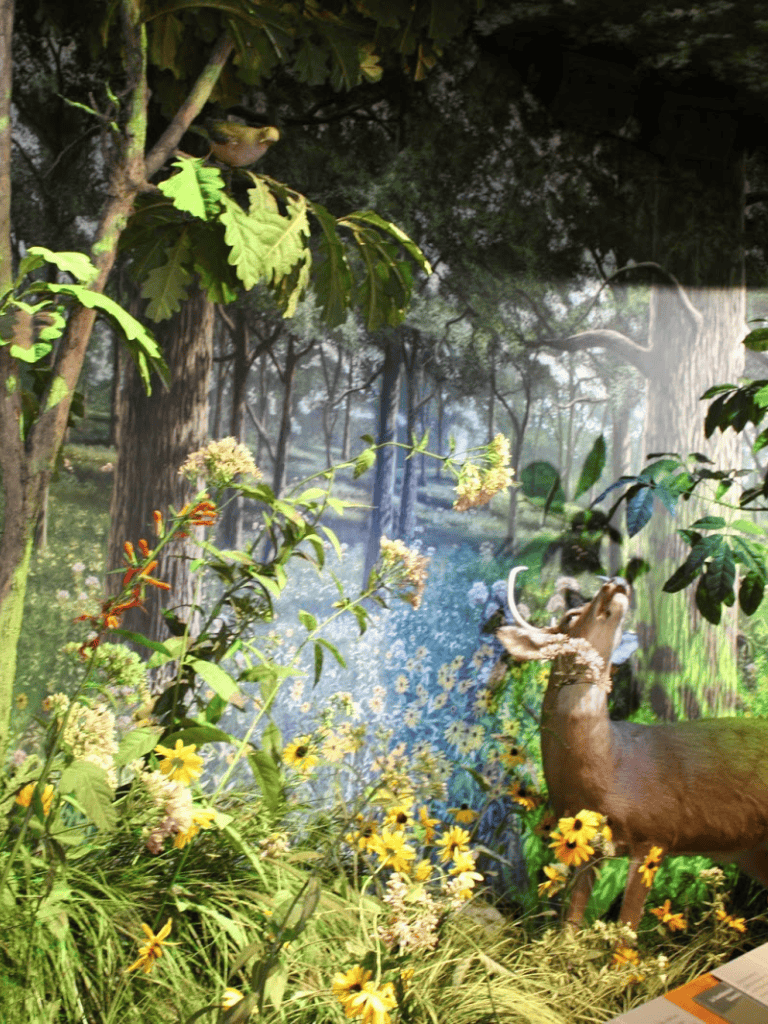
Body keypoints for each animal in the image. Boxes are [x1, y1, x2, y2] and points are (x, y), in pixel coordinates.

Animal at [496, 568, 768, 931]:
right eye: (570, 617)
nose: (617, 582)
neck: (612, 766)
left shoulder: (658, 834)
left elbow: (626, 929)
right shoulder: (589, 844)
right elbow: (572, 922)